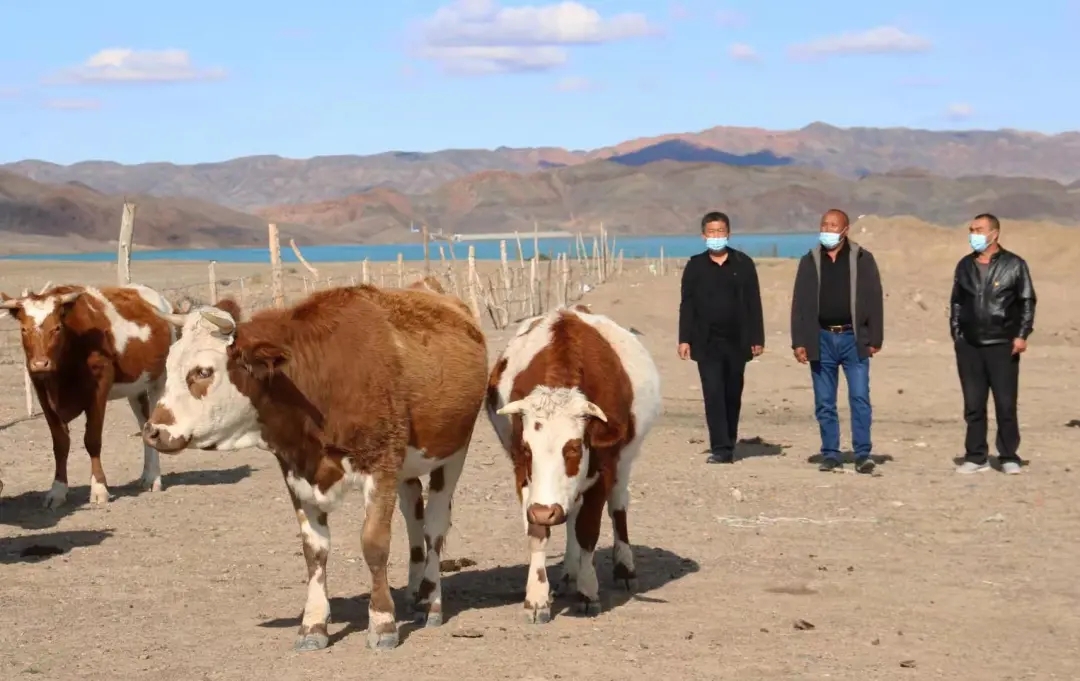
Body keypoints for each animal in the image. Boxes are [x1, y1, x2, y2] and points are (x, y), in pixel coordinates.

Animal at [0, 284, 176, 508]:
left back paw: (154, 478)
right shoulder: (43, 394)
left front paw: (99, 488)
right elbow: (60, 444)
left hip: (160, 379)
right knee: (144, 423)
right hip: (136, 387)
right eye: (23, 329)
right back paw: (147, 476)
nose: (40, 364)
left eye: (57, 328)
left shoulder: (99, 389)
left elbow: (92, 440)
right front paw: (57, 490)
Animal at [140, 285, 488, 652]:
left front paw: (382, 623)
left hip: (453, 453)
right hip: (407, 468)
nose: (153, 431)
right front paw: (313, 625)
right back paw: (414, 591)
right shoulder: (296, 472)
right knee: (414, 515)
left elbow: (374, 544)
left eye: (204, 371)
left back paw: (431, 600)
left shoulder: (381, 466)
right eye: (169, 365)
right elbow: (315, 551)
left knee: (434, 527)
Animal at [486, 306, 662, 623]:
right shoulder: (524, 478)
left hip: (625, 462)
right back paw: (569, 572)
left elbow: (588, 531)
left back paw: (624, 568)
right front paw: (537, 598)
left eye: (574, 448)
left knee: (618, 507)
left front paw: (588, 591)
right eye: (527, 451)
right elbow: (539, 532)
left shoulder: (604, 471)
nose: (546, 511)